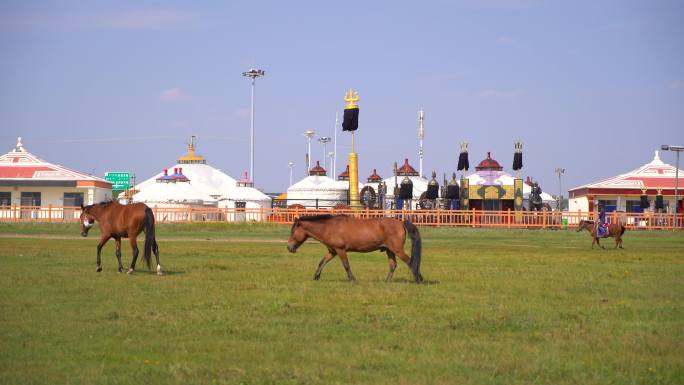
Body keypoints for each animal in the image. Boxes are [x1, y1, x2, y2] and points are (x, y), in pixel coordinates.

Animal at [284, 213, 422, 282]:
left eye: (293, 231)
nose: (289, 247)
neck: (329, 227)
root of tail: (400, 222)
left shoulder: (340, 250)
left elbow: (346, 265)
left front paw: (352, 279)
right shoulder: (332, 251)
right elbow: (322, 262)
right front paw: (316, 277)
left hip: (397, 250)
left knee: (411, 262)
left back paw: (418, 279)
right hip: (390, 250)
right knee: (393, 265)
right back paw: (387, 281)